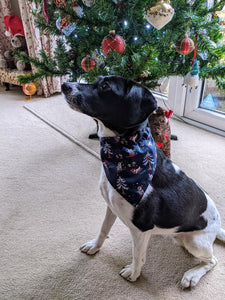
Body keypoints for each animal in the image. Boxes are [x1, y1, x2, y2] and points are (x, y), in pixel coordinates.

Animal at [61, 76, 225, 288]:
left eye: (105, 86)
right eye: (98, 80)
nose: (64, 85)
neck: (123, 153)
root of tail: (217, 226)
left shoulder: (141, 229)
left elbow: (138, 255)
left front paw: (133, 273)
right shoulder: (111, 207)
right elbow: (103, 229)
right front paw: (94, 246)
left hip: (195, 242)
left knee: (212, 261)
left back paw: (192, 275)